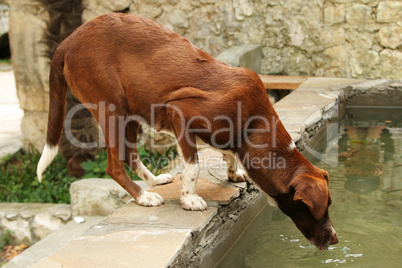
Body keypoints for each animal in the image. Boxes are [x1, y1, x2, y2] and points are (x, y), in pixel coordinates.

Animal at [37, 12, 338, 247]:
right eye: (318, 210)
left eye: (329, 206)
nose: (335, 239)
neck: (254, 123)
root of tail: (68, 40)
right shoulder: (178, 112)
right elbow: (193, 166)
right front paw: (189, 199)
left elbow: (228, 155)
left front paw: (233, 173)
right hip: (112, 108)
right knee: (114, 165)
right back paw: (143, 196)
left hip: (131, 111)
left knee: (129, 156)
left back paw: (153, 181)